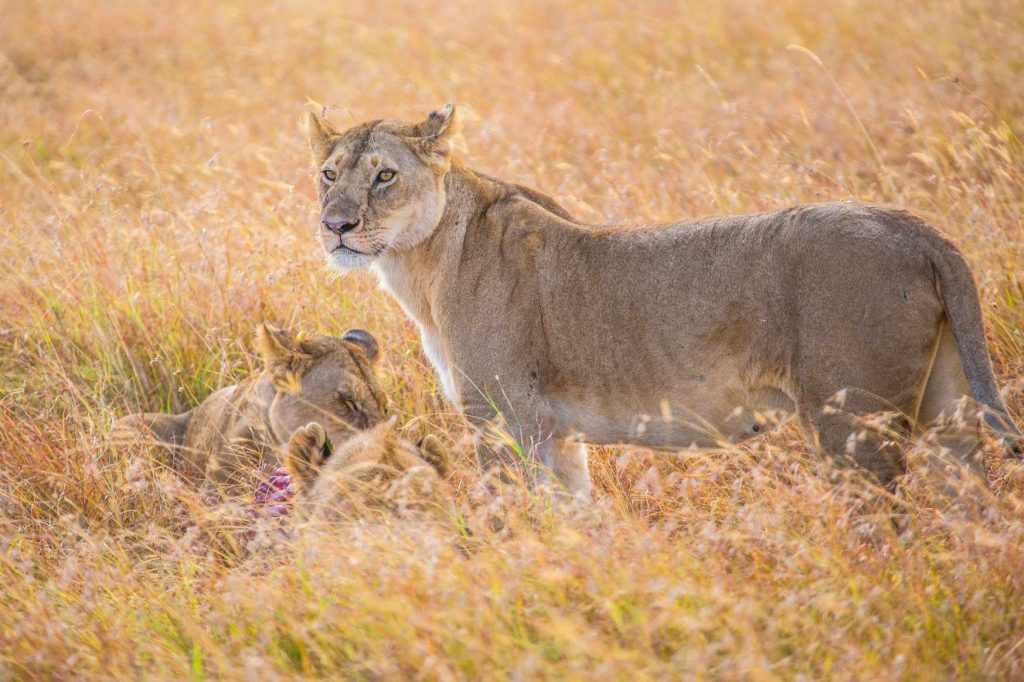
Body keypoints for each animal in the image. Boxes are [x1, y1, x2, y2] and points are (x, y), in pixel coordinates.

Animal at [304, 104, 1020, 499]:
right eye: (328, 174)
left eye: (385, 175)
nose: (336, 225)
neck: (420, 265)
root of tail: (918, 229)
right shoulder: (557, 435)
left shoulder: (505, 423)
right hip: (950, 413)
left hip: (854, 428)